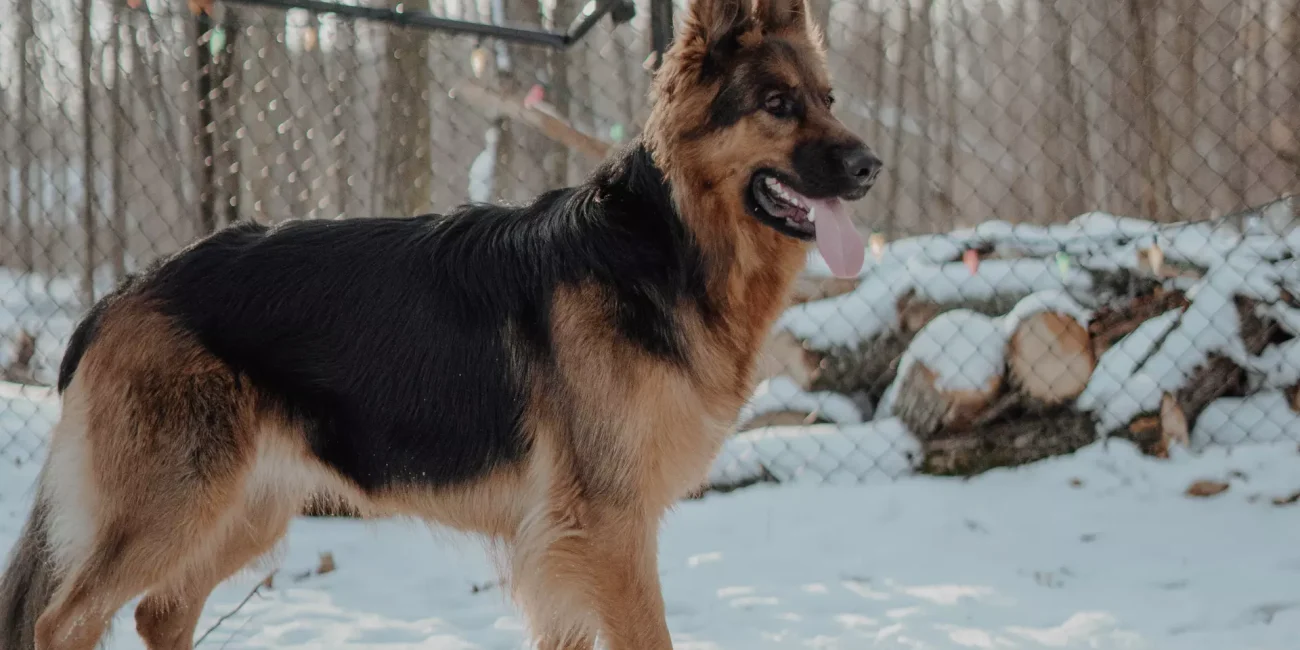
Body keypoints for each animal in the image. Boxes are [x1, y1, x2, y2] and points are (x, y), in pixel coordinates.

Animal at [5, 0, 878, 647]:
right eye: (777, 105)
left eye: (828, 101)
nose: (871, 166)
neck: (667, 243)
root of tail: (125, 291)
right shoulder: (607, 531)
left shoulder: (567, 550)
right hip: (175, 503)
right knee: (61, 623)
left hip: (244, 509)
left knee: (161, 611)